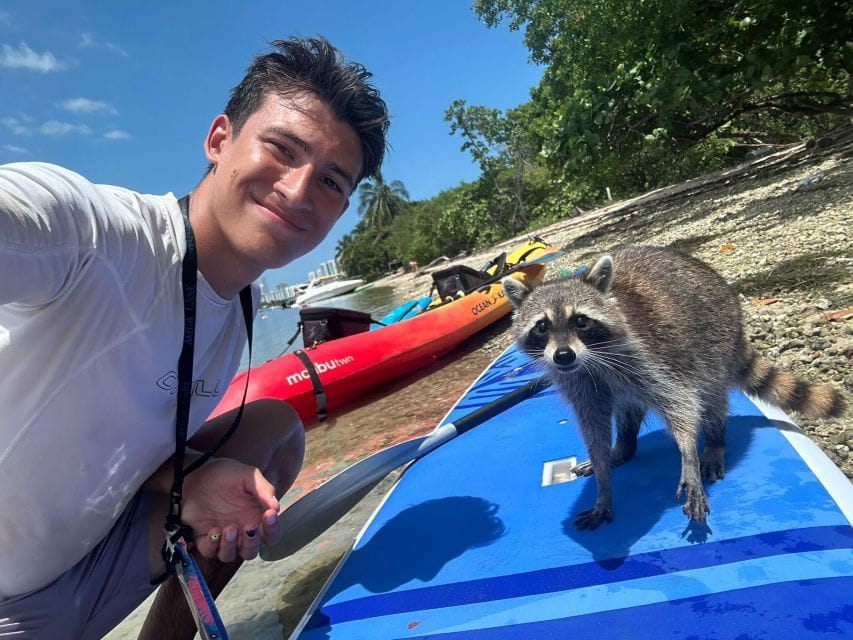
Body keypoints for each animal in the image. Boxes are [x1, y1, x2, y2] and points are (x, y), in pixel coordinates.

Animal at [503, 245, 845, 529]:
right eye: (542, 327)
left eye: (581, 321)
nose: (563, 355)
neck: (590, 361)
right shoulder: (581, 384)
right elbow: (593, 427)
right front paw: (603, 482)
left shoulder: (652, 357)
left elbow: (682, 404)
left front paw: (688, 454)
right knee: (628, 410)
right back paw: (624, 446)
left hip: (715, 343)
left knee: (711, 399)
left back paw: (714, 441)